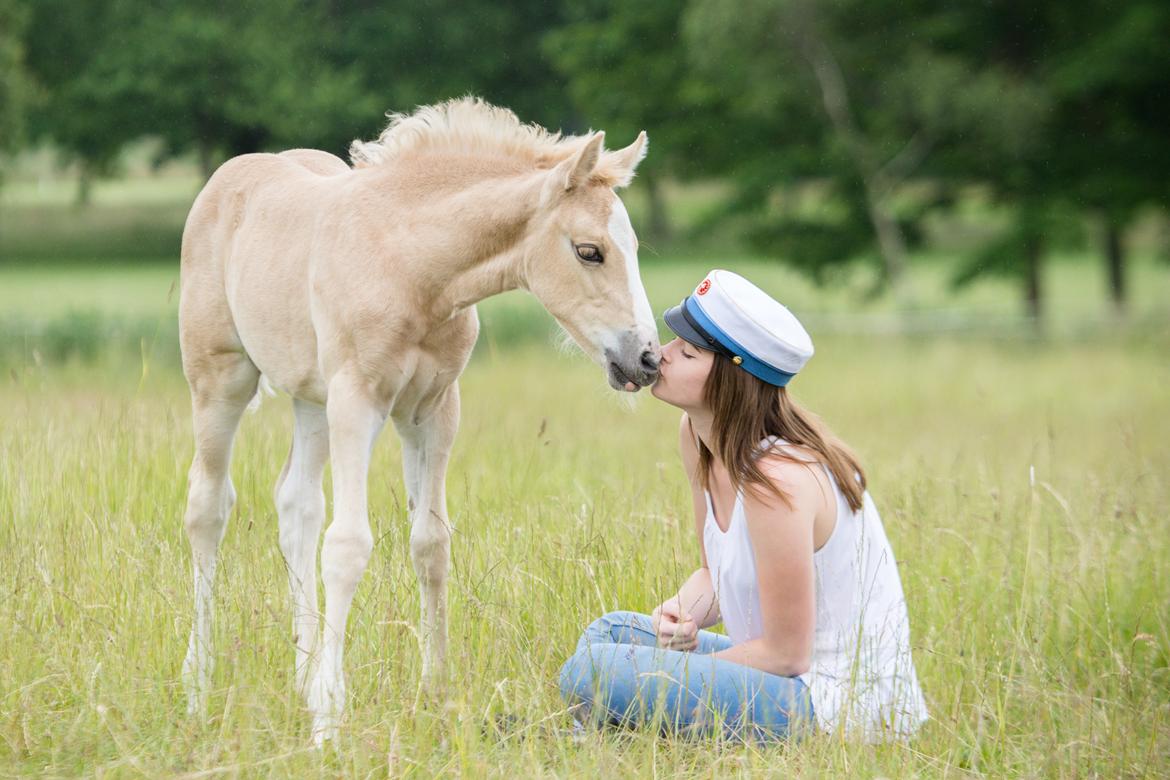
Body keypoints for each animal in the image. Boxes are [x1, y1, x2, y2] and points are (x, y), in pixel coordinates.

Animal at [179, 99, 664, 743]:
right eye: (589, 251)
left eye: (630, 247)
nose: (647, 359)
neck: (407, 263)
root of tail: (228, 178)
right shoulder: (357, 399)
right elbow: (348, 545)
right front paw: (330, 719)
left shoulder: (432, 410)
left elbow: (430, 544)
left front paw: (435, 694)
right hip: (221, 380)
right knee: (209, 507)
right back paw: (198, 687)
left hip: (310, 398)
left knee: (296, 506)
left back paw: (302, 678)